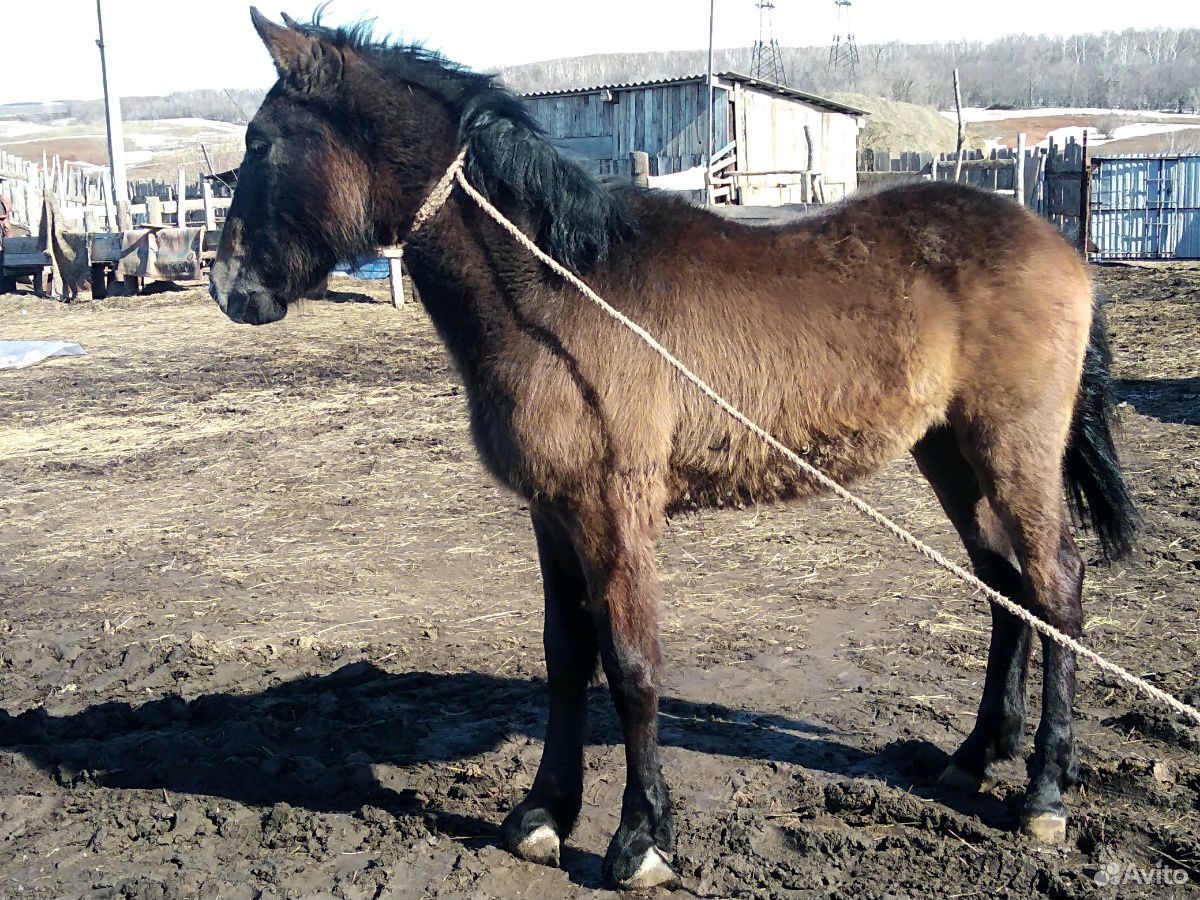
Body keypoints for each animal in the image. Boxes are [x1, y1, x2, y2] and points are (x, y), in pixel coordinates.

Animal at [211, 10, 1137, 892]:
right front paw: (543, 817)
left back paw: (1044, 794)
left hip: (1013, 448)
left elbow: (630, 664)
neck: (558, 290)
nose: (228, 288)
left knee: (1056, 587)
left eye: (260, 142)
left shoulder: (615, 508)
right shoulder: (551, 511)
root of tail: (1059, 245)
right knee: (1006, 588)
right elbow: (565, 654)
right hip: (948, 452)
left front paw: (640, 841)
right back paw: (974, 757)